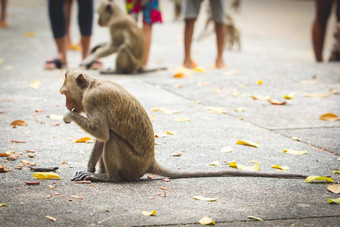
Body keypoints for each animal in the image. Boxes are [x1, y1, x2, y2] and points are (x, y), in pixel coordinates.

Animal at [59, 70, 310, 182]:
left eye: (65, 94)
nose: (67, 104)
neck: (92, 83)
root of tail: (149, 162)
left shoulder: (93, 99)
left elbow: (102, 132)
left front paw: (68, 116)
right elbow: (99, 137)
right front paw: (89, 169)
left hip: (132, 165)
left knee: (112, 137)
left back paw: (110, 178)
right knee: (108, 137)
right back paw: (101, 174)